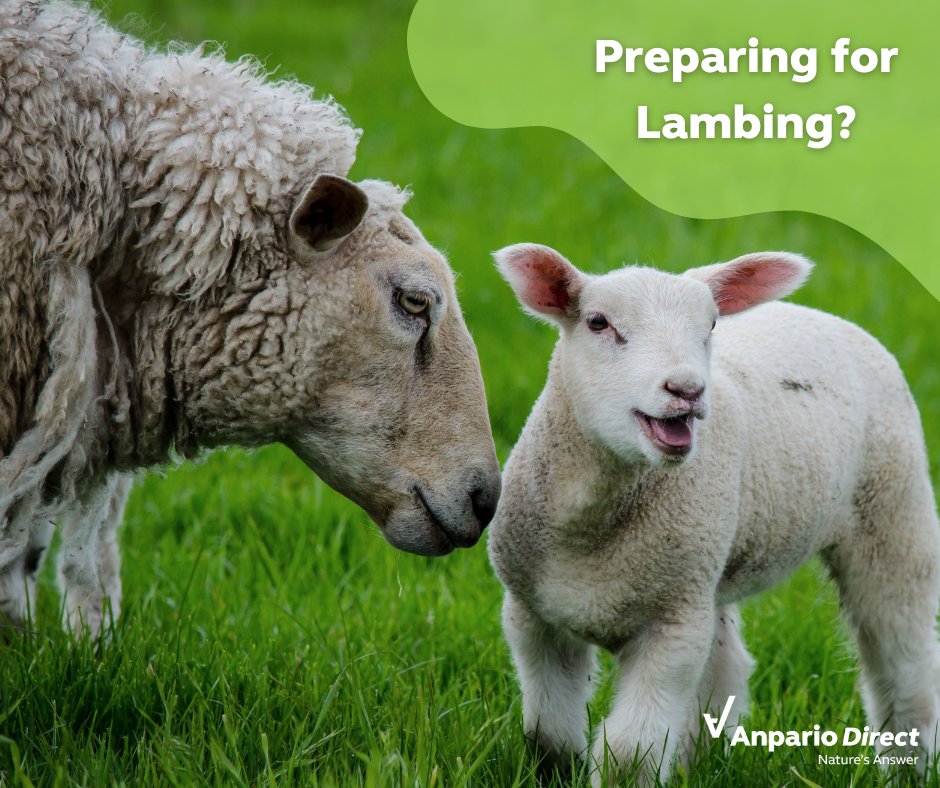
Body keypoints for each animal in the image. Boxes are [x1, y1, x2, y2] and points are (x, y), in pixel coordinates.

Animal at [487, 242, 940, 785]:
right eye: (598, 323)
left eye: (711, 325)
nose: (686, 389)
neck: (590, 532)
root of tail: (821, 314)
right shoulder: (531, 612)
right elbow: (547, 735)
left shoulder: (672, 624)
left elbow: (627, 754)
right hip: (710, 565)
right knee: (726, 667)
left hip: (892, 513)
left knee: (903, 662)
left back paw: (910, 766)